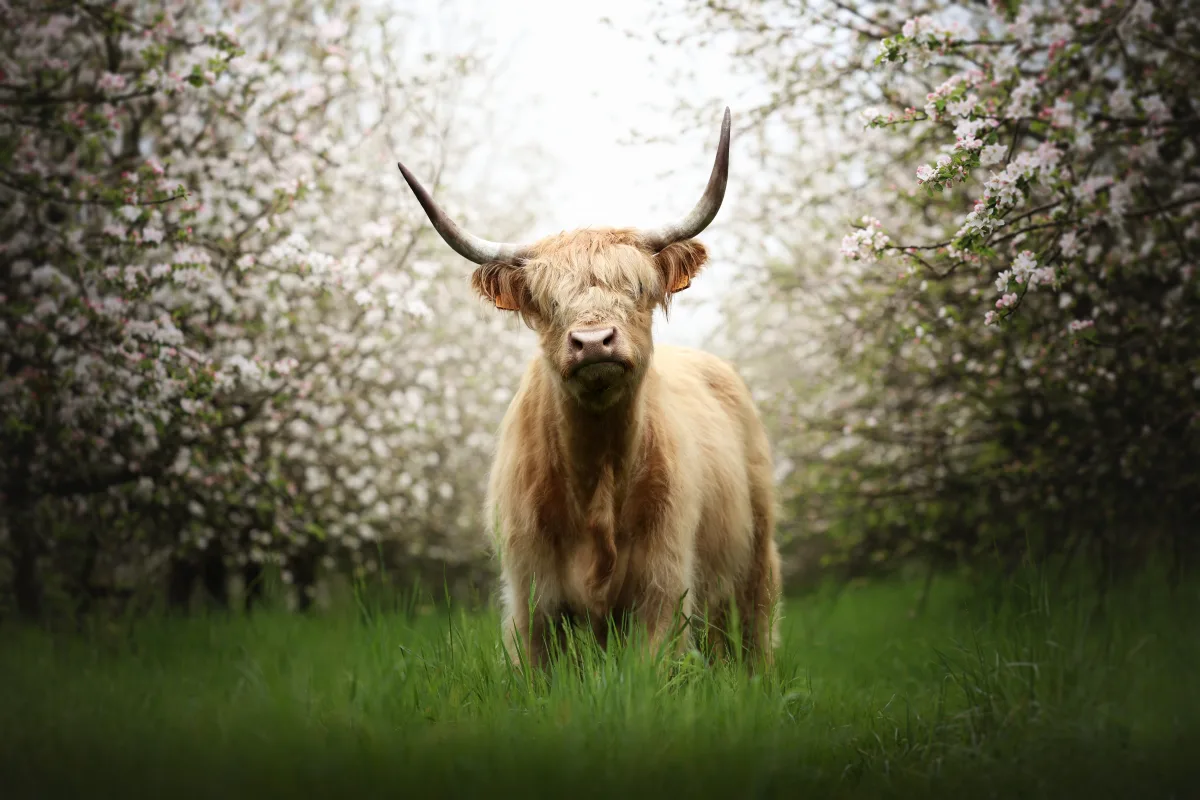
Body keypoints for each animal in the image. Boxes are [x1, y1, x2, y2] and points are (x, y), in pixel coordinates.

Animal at [396, 107, 782, 669]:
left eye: (638, 288)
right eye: (546, 302)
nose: (594, 342)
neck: (597, 477)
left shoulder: (661, 590)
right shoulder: (532, 600)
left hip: (755, 564)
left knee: (752, 637)